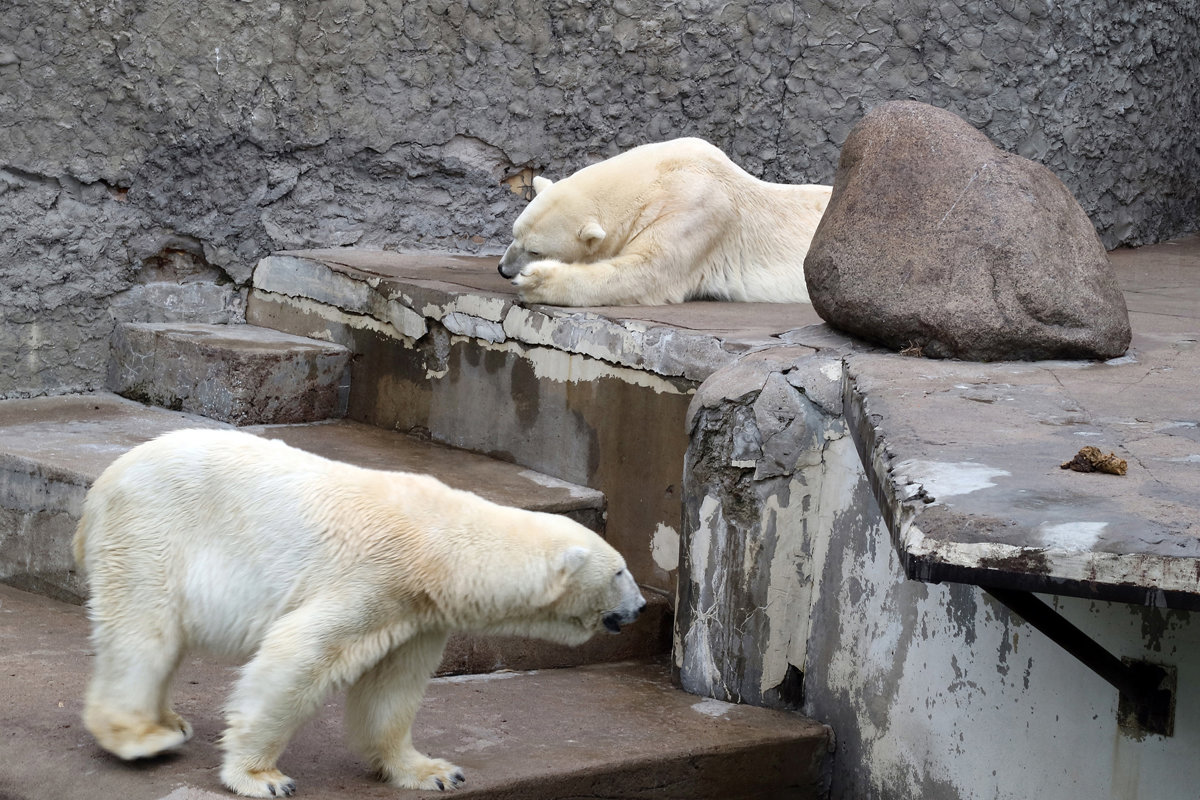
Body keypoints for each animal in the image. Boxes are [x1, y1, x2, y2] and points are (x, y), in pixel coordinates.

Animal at [72, 431, 648, 800]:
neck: (439, 545)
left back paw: (169, 720)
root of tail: (102, 485)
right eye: (621, 571)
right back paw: (142, 736)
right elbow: (298, 655)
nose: (641, 607)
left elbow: (392, 688)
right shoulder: (372, 576)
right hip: (150, 532)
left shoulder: (416, 611)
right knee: (144, 632)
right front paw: (262, 777)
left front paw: (434, 771)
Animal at [499, 137, 835, 307]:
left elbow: (646, 272)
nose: (503, 270)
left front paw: (534, 280)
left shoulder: (697, 211)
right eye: (514, 234)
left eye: (535, 251)